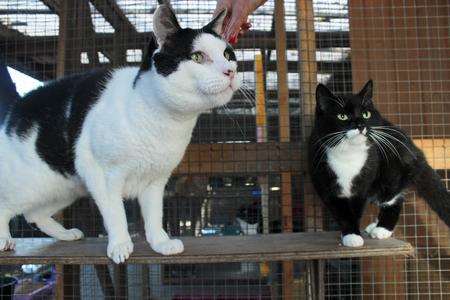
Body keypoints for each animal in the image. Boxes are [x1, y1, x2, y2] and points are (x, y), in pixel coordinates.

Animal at [0, 0, 243, 262]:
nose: (230, 71)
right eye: (198, 57)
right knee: (5, 206)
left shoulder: (156, 181)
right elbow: (116, 214)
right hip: (29, 183)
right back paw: (4, 240)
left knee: (33, 214)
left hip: (63, 188)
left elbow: (154, 215)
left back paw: (66, 234)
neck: (164, 122)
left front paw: (160, 242)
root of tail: (17, 106)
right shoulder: (102, 175)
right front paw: (119, 245)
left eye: (228, 55)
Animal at [308, 81, 450, 247]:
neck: (348, 156)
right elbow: (341, 212)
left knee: (393, 198)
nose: (360, 125)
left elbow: (356, 210)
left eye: (366, 114)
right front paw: (350, 235)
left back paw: (381, 229)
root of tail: (414, 150)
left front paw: (353, 236)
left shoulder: (364, 183)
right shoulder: (325, 185)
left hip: (393, 171)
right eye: (342, 116)